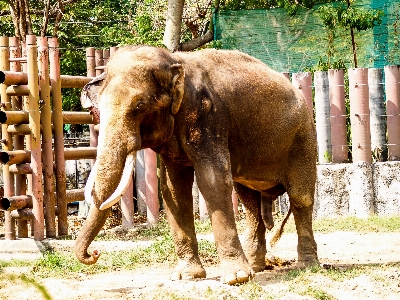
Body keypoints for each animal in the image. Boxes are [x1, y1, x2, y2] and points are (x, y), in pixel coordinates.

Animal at [76, 45, 318, 284]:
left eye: (139, 106)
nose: (94, 253)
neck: (175, 61)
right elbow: (173, 189)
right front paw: (186, 276)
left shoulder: (208, 118)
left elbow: (213, 180)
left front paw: (235, 279)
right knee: (249, 203)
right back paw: (256, 267)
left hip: (303, 138)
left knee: (300, 198)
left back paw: (305, 265)